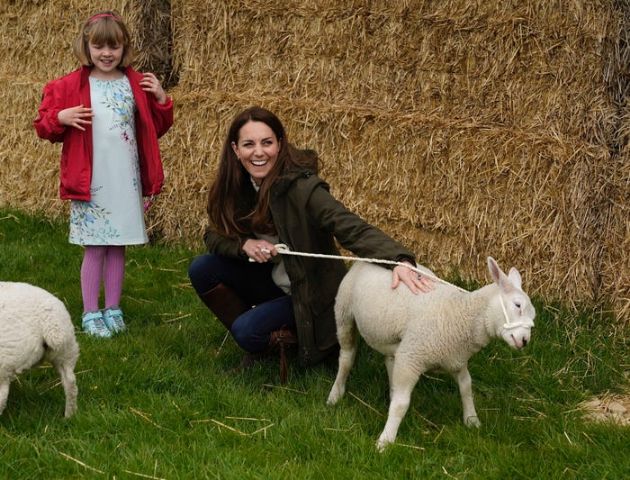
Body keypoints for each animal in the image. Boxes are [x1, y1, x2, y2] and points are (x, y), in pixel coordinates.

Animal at [0, 282, 79, 416]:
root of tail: (49, 323)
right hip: (66, 350)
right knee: (70, 383)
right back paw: (69, 415)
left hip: (4, 360)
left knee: (2, 396)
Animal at [326, 258, 540, 450]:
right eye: (518, 305)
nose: (524, 341)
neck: (462, 315)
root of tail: (364, 261)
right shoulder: (412, 357)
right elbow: (401, 405)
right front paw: (385, 440)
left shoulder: (455, 359)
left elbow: (466, 387)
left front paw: (471, 419)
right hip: (344, 312)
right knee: (347, 357)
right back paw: (335, 394)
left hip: (393, 339)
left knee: (389, 359)